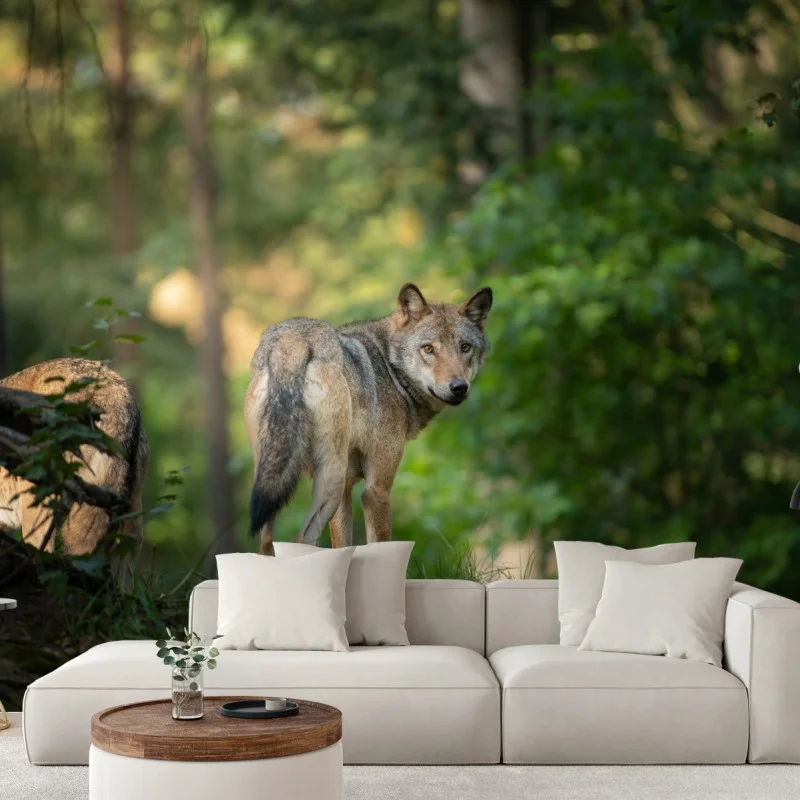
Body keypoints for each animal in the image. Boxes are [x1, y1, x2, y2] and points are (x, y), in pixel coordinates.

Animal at [245, 283, 493, 555]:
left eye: (465, 347)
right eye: (428, 349)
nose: (459, 387)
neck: (390, 369)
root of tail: (294, 340)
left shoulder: (346, 491)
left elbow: (343, 545)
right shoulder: (376, 490)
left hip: (270, 483)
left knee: (267, 544)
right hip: (328, 483)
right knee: (301, 540)